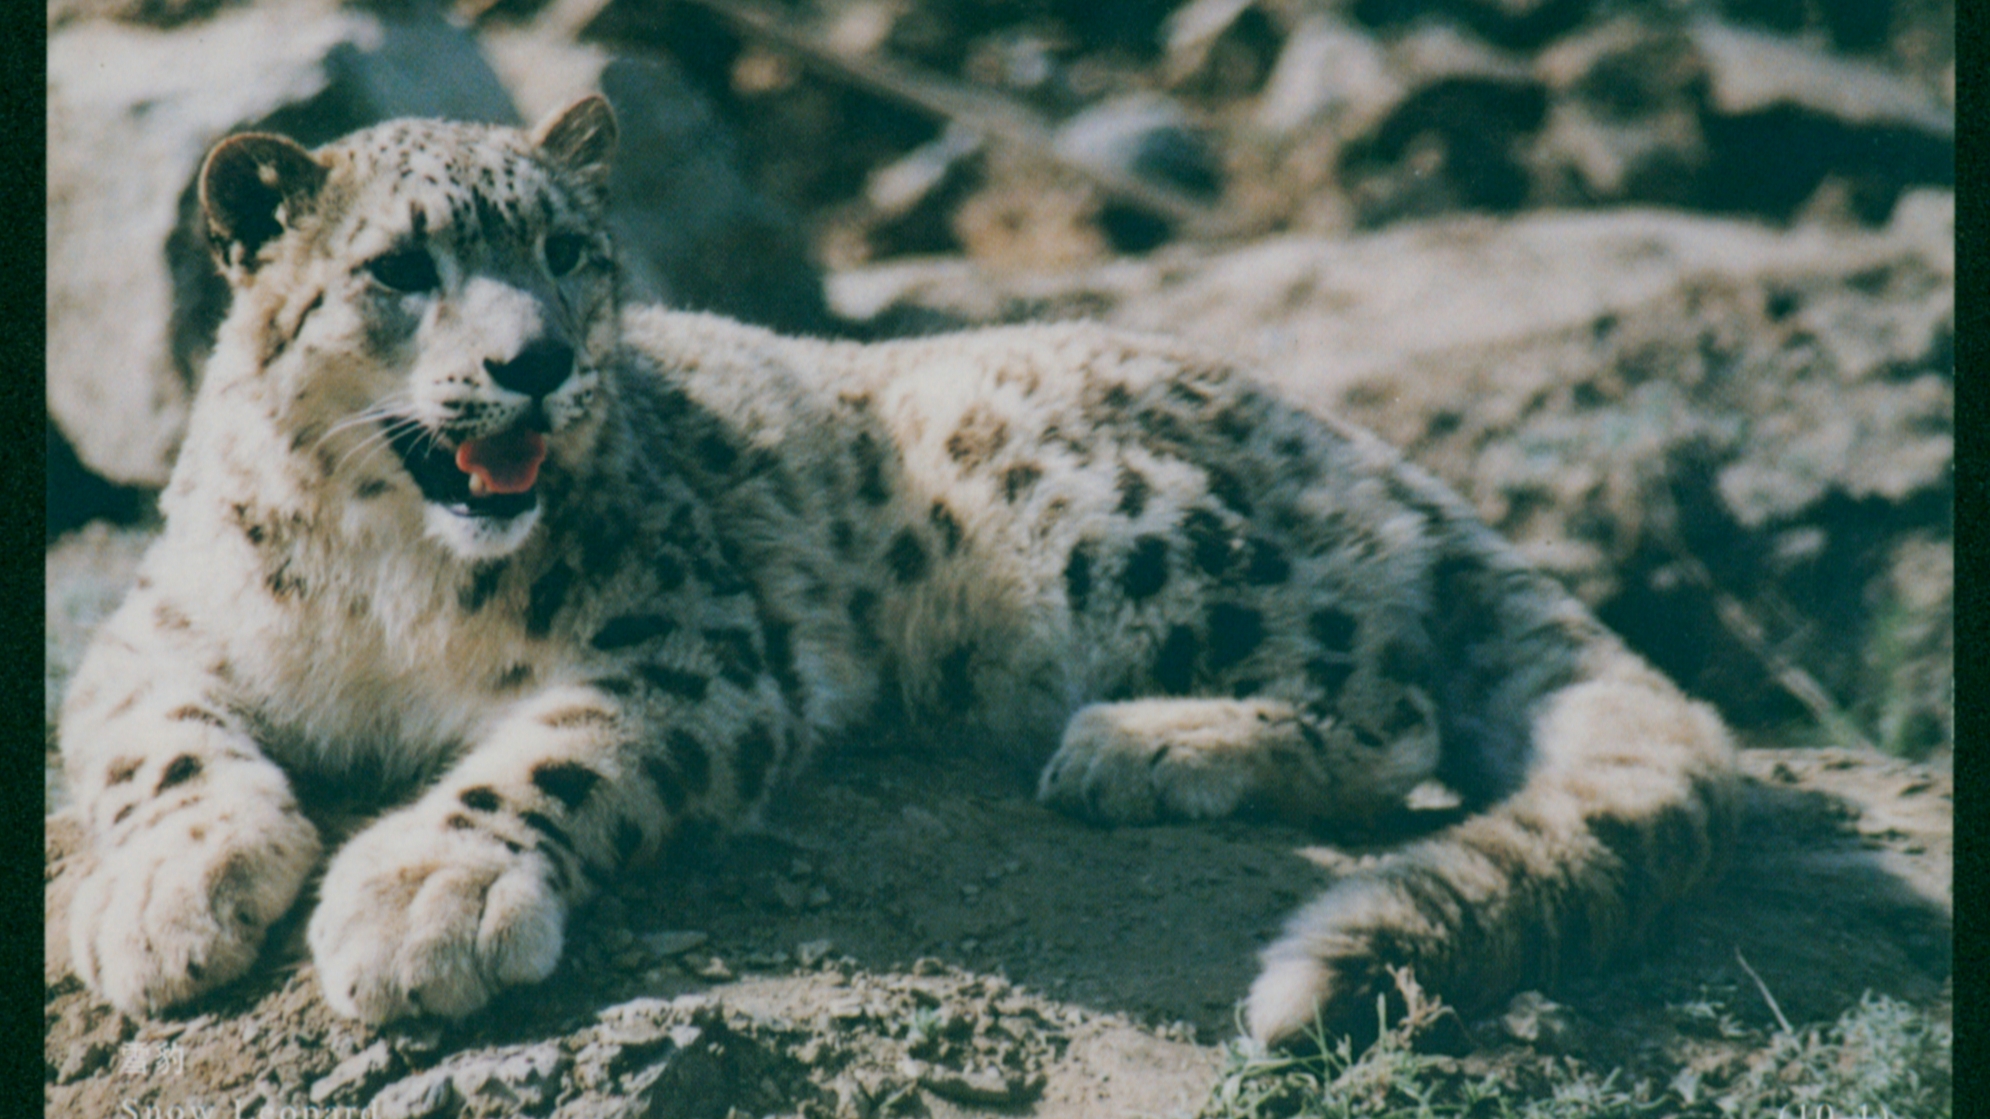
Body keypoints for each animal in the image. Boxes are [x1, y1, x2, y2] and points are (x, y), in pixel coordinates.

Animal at [62, 98, 1735, 1043]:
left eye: (567, 252)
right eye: (401, 271)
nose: (534, 363)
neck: (386, 574)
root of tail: (1349, 429)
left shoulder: (692, 644)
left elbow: (551, 752)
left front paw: (422, 895)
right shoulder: (154, 625)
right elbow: (153, 740)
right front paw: (163, 896)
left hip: (1106, 520)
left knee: (1389, 705)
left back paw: (1144, 744)